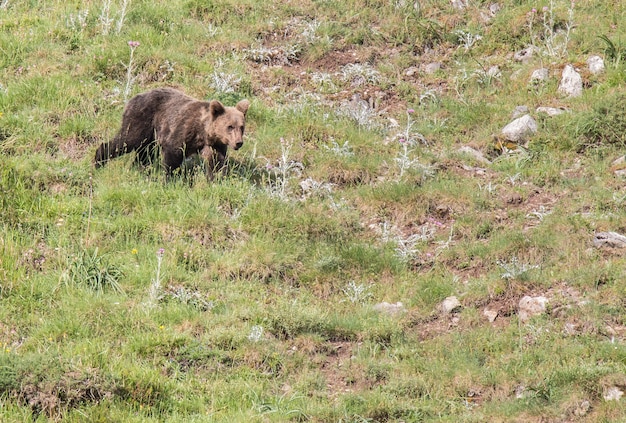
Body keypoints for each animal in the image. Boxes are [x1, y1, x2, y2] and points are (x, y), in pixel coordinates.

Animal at [93, 88, 249, 177]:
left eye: (241, 127)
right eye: (230, 126)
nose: (238, 143)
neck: (203, 132)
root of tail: (133, 98)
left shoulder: (214, 144)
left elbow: (217, 163)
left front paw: (217, 179)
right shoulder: (182, 130)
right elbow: (173, 154)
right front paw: (169, 177)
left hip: (151, 134)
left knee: (145, 152)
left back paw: (140, 168)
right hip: (142, 120)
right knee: (127, 141)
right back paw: (99, 160)